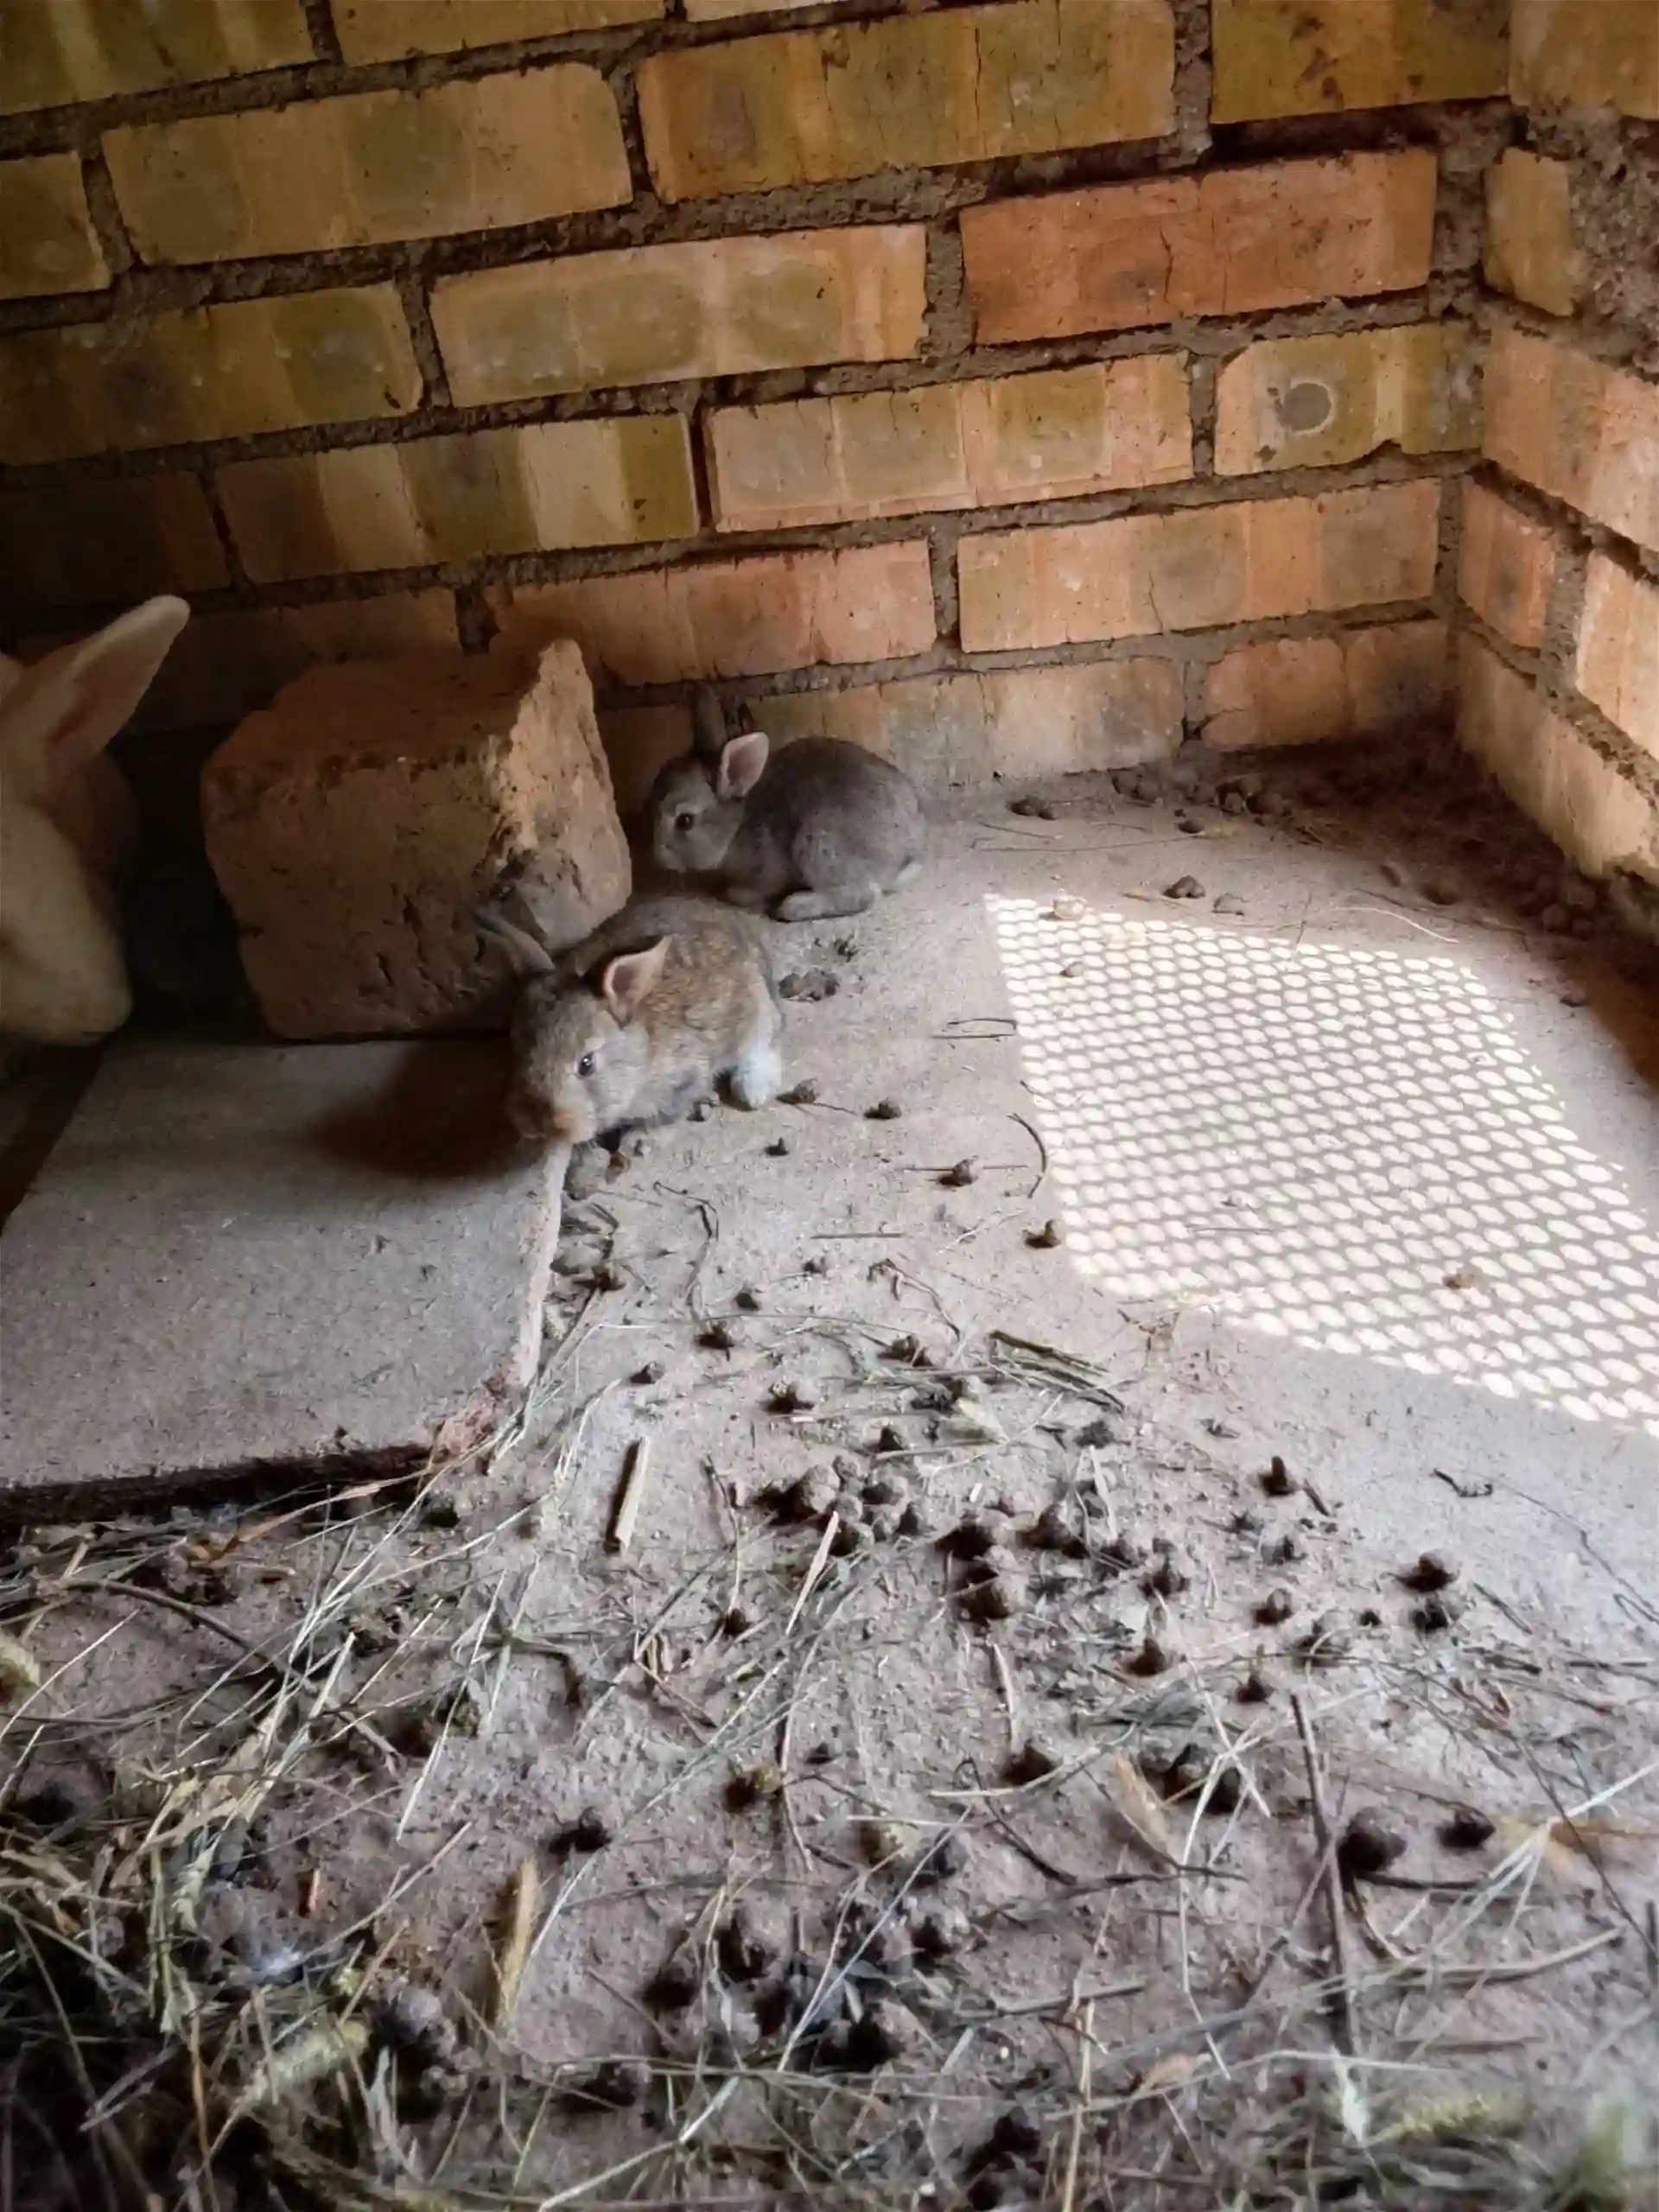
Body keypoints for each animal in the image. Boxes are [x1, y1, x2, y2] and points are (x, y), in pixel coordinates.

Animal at [480, 893, 784, 1183]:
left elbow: (666, 1117)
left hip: (756, 1014)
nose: (534, 1121)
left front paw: (638, 1141)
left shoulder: (685, 1079)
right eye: (515, 1047)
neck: (638, 1057)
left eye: (586, 1064)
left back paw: (752, 1090)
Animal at [648, 714, 926, 922]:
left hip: (817, 844)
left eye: (685, 821)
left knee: (861, 895)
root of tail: (906, 853)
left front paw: (737, 894)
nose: (659, 857)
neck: (736, 825)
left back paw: (793, 906)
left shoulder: (768, 869)